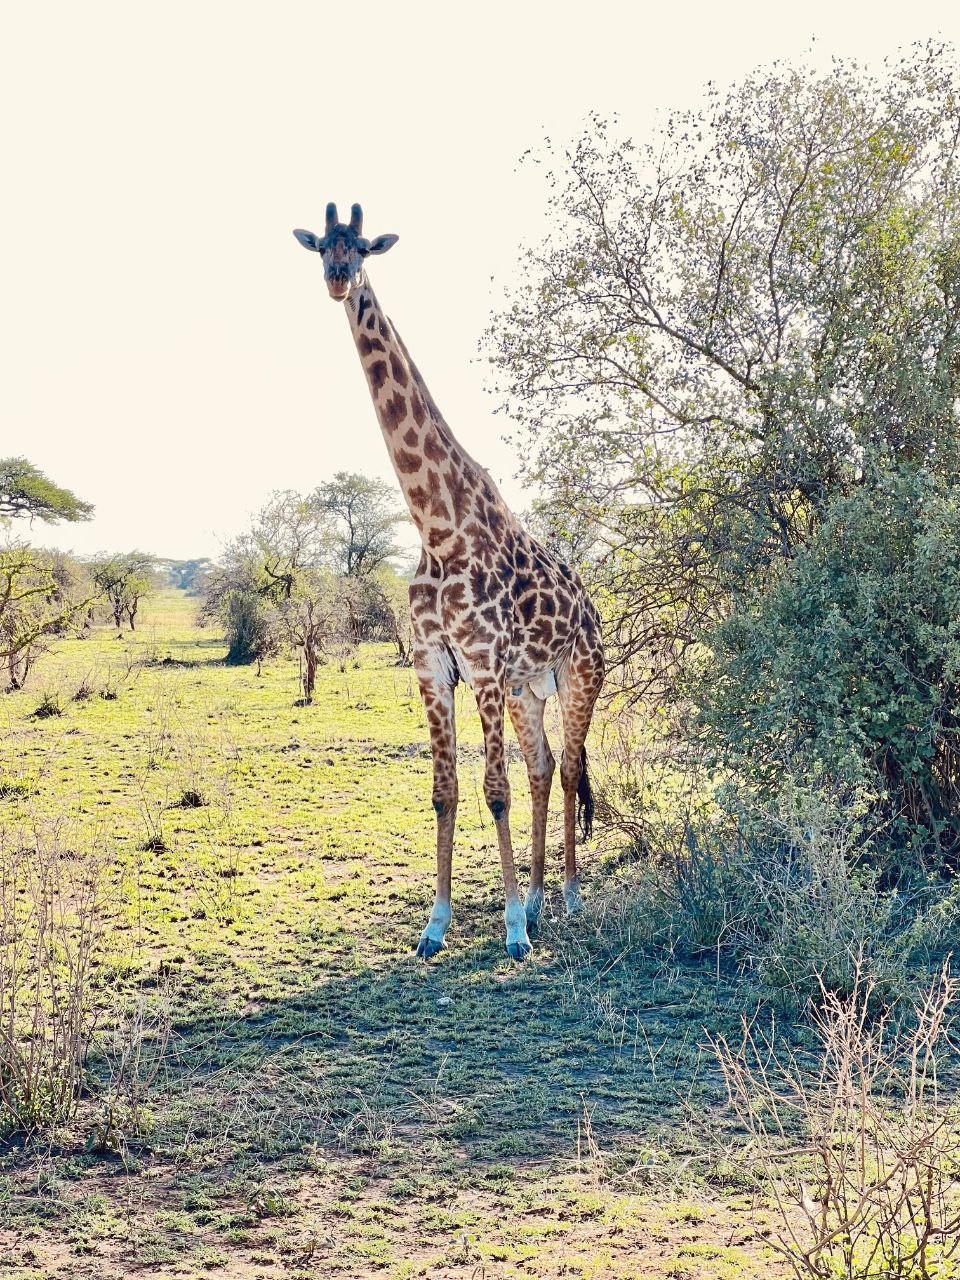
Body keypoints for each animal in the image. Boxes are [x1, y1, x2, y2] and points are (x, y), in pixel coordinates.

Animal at [296, 202, 604, 962]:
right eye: (321, 247)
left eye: (362, 248)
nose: (338, 280)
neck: (437, 525)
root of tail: (593, 608)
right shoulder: (433, 662)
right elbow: (445, 789)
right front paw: (437, 925)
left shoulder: (484, 660)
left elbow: (492, 788)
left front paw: (513, 930)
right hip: (528, 688)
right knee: (543, 768)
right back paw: (539, 898)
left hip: (580, 674)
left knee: (571, 767)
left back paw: (567, 899)